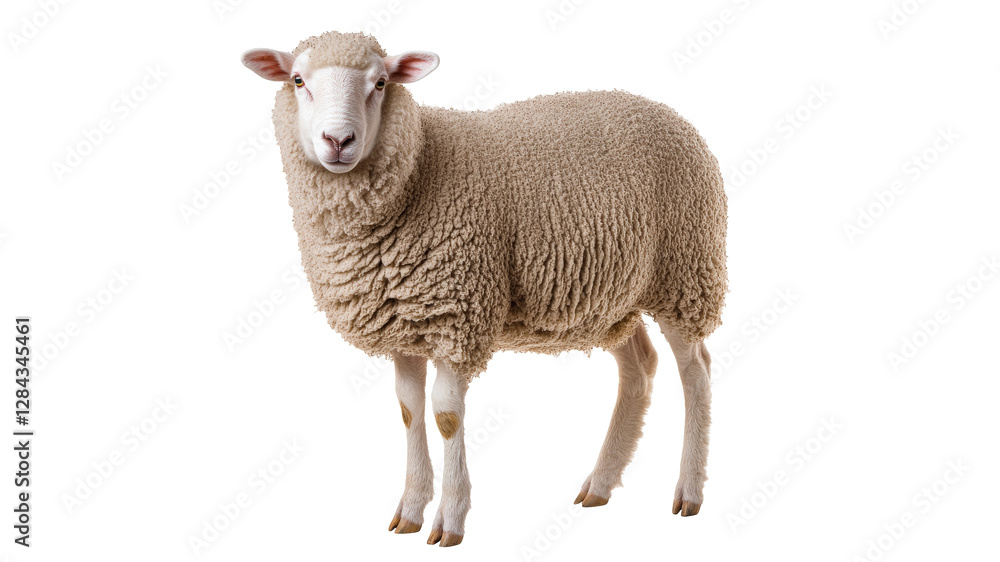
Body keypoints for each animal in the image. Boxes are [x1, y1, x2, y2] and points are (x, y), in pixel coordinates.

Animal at [241, 31, 727, 547]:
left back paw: (689, 490)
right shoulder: (404, 325)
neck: (420, 167)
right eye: (298, 80)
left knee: (696, 371)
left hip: (685, 273)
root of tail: (668, 113)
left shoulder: (458, 314)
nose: (338, 141)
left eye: (381, 82)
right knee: (640, 367)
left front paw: (449, 520)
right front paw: (410, 510)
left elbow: (445, 416)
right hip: (610, 300)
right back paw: (600, 483)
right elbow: (409, 410)